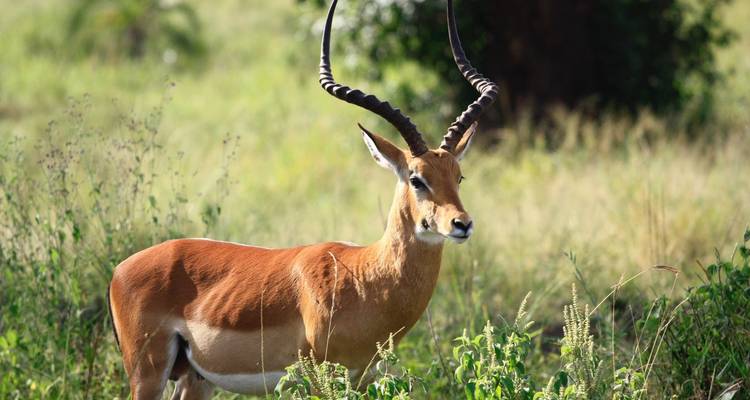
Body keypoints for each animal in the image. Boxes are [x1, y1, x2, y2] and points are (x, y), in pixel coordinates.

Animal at [107, 0, 498, 398]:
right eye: (417, 179)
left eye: (458, 176)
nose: (462, 224)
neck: (365, 276)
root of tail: (120, 269)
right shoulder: (318, 379)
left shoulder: (362, 378)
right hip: (147, 374)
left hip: (195, 378)